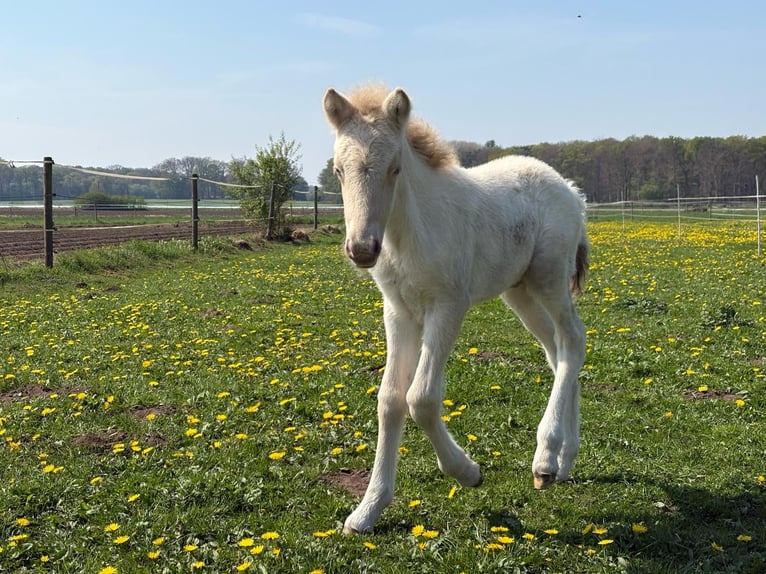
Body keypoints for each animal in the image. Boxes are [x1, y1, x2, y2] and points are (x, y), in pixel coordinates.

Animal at [322, 84, 589, 534]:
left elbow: (421, 398)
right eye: (339, 171)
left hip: (549, 277)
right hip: (519, 292)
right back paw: (564, 460)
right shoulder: (398, 312)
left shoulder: (448, 306)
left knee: (574, 340)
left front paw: (468, 472)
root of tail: (572, 191)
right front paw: (368, 509)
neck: (409, 233)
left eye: (395, 168)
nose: (361, 249)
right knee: (557, 354)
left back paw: (545, 458)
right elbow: (390, 399)